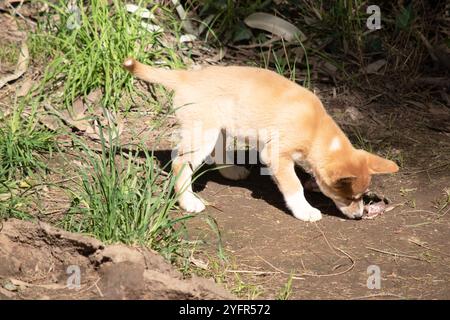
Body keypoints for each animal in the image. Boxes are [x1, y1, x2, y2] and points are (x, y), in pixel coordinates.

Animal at [122, 58, 398, 221]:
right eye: (350, 198)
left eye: (362, 197)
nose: (360, 215)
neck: (315, 129)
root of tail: (187, 76)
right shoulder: (276, 156)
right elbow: (294, 187)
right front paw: (305, 210)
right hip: (204, 133)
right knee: (181, 163)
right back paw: (189, 202)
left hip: (219, 129)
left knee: (217, 153)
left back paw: (232, 171)